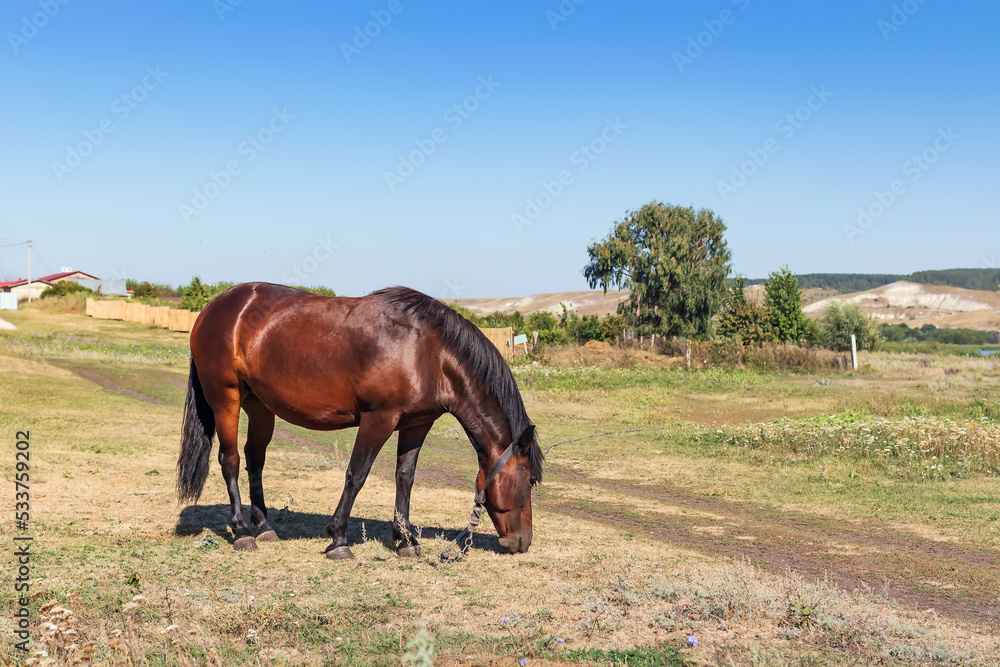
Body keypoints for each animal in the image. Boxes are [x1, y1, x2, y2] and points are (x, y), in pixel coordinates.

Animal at [175, 282, 543, 558]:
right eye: (529, 481)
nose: (522, 542)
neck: (428, 351)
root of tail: (214, 307)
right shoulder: (378, 419)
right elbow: (357, 474)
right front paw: (338, 539)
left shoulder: (416, 423)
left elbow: (405, 478)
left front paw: (405, 540)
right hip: (226, 400)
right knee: (230, 460)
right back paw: (242, 532)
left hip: (260, 407)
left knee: (255, 459)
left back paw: (264, 528)